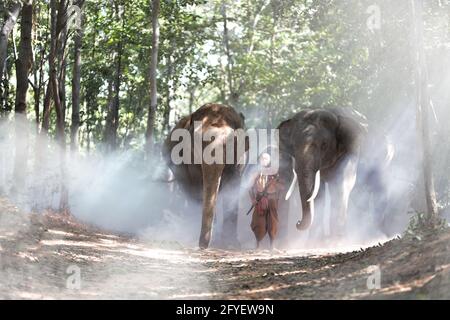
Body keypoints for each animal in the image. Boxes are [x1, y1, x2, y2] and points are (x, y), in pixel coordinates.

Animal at [162, 104, 246, 249]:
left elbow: (233, 184)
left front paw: (231, 245)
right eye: (197, 142)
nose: (202, 246)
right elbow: (200, 186)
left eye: (231, 141)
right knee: (191, 192)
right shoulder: (189, 157)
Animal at [276, 106, 368, 241]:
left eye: (324, 145)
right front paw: (314, 242)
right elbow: (318, 193)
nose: (297, 223)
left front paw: (337, 241)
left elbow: (343, 183)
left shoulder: (352, 148)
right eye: (292, 146)